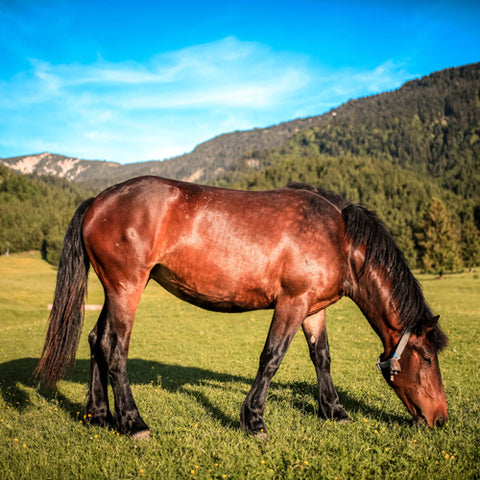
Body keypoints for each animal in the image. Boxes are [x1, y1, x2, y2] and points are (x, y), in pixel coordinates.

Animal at [35, 176, 448, 438]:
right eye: (427, 359)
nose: (440, 419)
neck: (338, 235)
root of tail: (99, 201)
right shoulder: (292, 303)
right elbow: (272, 357)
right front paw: (254, 420)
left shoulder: (314, 309)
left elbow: (322, 358)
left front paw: (334, 411)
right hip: (127, 288)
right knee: (115, 348)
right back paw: (134, 423)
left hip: (116, 290)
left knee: (96, 340)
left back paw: (99, 415)